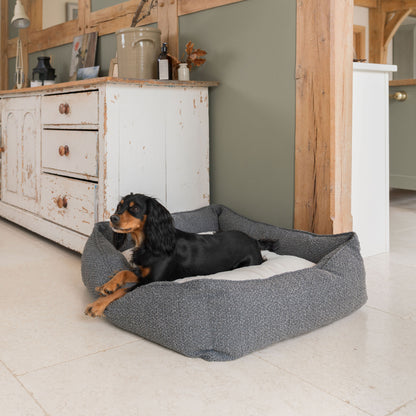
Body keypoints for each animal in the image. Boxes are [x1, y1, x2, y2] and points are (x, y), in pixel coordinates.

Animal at [84, 193, 280, 316]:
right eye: (120, 206)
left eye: (135, 208)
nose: (113, 218)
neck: (152, 242)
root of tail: (254, 240)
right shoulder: (144, 273)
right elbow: (124, 272)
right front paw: (108, 285)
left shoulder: (152, 281)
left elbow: (124, 290)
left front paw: (97, 305)